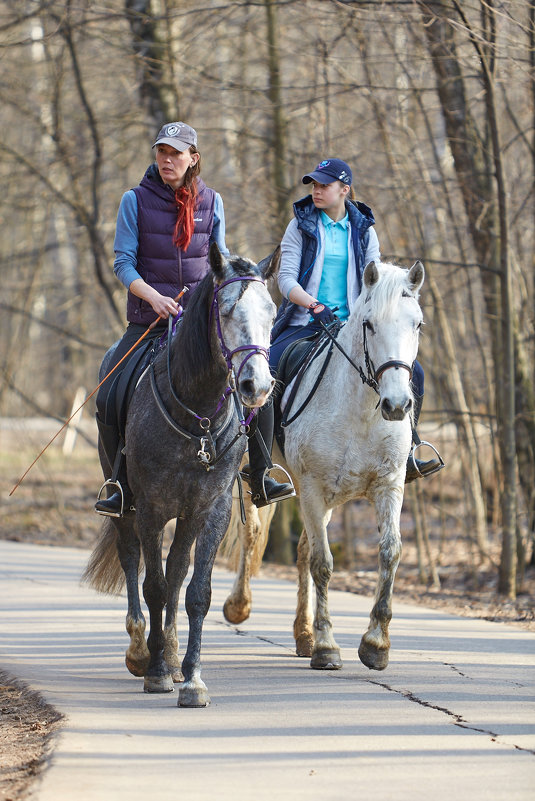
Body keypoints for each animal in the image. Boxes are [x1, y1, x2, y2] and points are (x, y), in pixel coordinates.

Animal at [85, 245, 276, 708]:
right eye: (226, 311)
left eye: (273, 312)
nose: (257, 387)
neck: (198, 417)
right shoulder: (151, 508)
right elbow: (152, 585)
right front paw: (155, 673)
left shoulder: (211, 510)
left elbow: (195, 592)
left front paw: (191, 679)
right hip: (126, 507)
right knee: (132, 559)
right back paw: (142, 651)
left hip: (186, 515)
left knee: (176, 570)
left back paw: (170, 653)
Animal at [223, 260, 428, 668]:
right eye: (369, 324)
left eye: (417, 324)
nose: (397, 405)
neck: (361, 411)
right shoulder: (314, 488)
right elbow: (323, 563)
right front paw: (327, 647)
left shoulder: (388, 485)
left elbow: (390, 551)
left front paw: (375, 644)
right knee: (251, 532)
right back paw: (238, 607)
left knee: (300, 549)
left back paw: (302, 634)